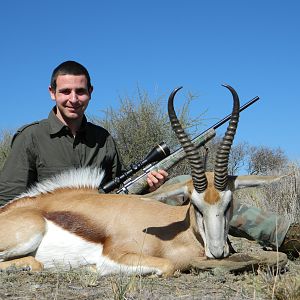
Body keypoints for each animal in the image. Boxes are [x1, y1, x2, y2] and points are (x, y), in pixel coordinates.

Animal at [0, 85, 282, 276]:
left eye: (229, 203)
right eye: (195, 205)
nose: (217, 251)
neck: (171, 231)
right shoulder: (117, 254)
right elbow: (168, 266)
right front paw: (91, 269)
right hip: (30, 233)